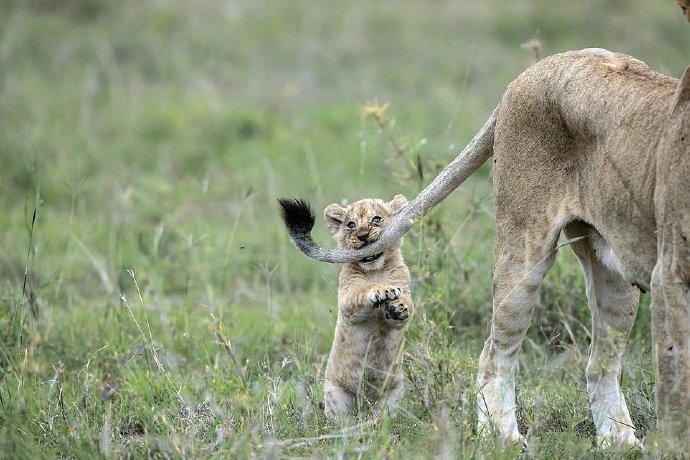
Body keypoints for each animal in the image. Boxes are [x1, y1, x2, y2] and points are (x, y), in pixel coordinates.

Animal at [280, 49, 688, 446]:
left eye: (377, 220)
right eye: (352, 225)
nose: (364, 236)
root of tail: (552, 59)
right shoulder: (669, 277)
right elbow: (676, 394)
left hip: (615, 272)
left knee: (599, 363)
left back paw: (619, 440)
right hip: (523, 252)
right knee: (494, 354)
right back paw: (503, 436)